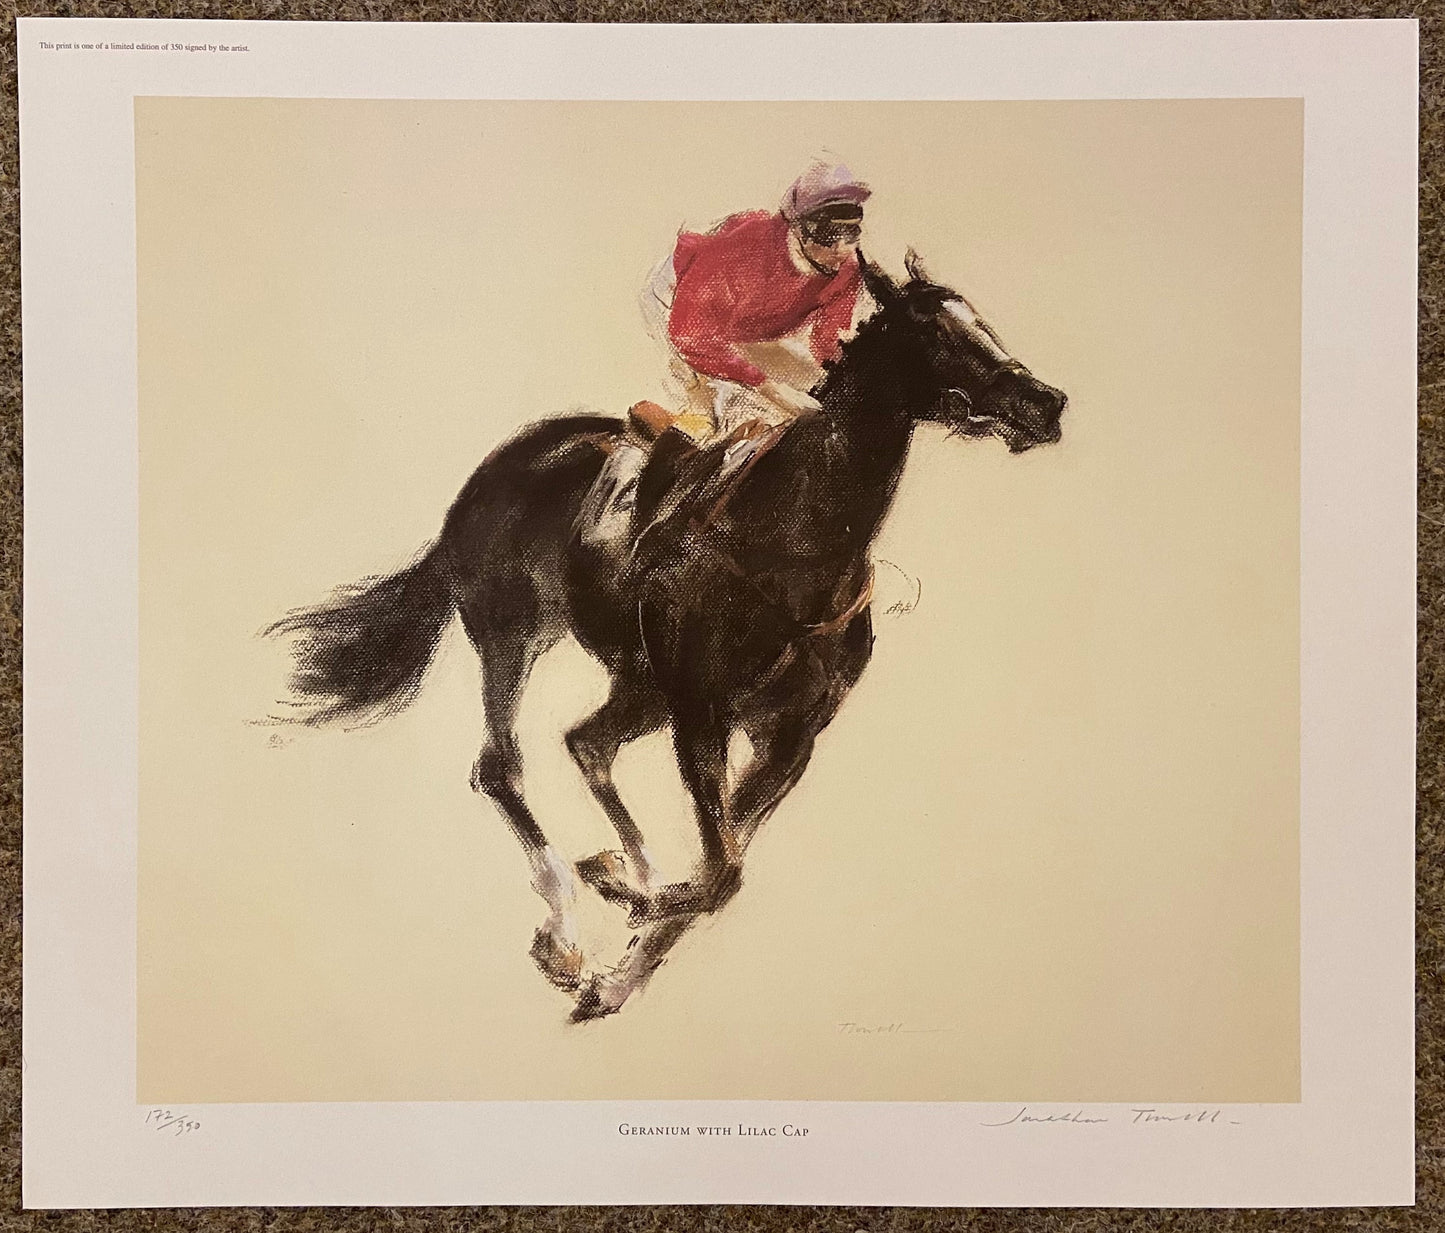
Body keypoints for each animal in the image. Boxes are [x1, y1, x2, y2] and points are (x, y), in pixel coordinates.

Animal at [268, 254, 1063, 1017]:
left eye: (978, 317)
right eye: (936, 332)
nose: (1045, 403)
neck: (796, 550)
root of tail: (491, 472)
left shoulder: (789, 736)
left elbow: (721, 868)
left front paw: (621, 961)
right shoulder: (700, 714)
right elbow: (721, 873)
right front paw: (621, 906)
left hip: (640, 682)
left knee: (586, 741)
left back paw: (627, 878)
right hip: (513, 636)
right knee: (502, 766)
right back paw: (568, 925)